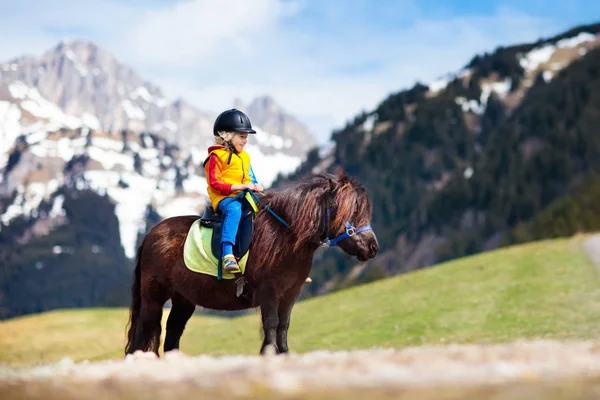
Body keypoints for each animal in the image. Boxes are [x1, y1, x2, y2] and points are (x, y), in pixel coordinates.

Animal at [123, 167, 378, 354]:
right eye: (349, 211)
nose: (372, 247)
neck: (284, 236)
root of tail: (151, 234)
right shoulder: (268, 292)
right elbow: (272, 326)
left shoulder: (290, 294)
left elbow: (283, 327)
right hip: (153, 297)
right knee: (142, 335)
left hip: (183, 299)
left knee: (173, 333)